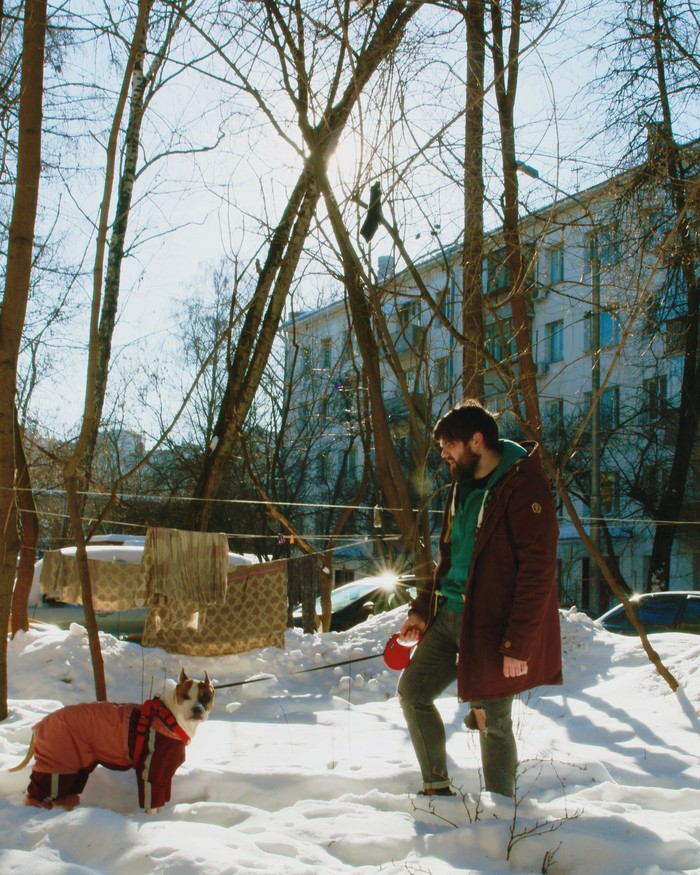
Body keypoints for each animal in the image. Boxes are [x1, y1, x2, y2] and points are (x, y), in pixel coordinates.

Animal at [10, 672, 213, 816]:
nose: (197, 709)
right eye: (185, 696)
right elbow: (151, 799)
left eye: (206, 697)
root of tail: (40, 724)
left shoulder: (164, 772)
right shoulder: (151, 770)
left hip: (76, 765)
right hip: (57, 764)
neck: (168, 717)